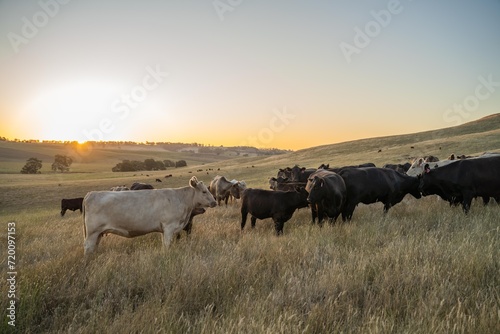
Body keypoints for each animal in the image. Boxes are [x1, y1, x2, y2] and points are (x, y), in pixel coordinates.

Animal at [83, 176, 216, 254]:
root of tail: (90, 194)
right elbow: (167, 245)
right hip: (92, 233)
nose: (214, 202)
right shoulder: (169, 227)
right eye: (204, 191)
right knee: (88, 248)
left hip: (98, 233)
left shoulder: (164, 229)